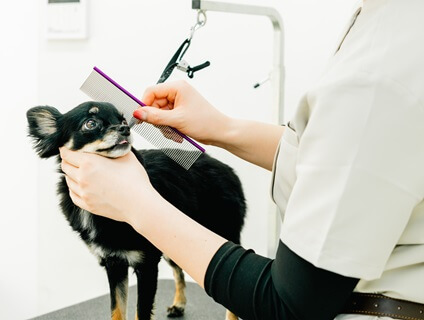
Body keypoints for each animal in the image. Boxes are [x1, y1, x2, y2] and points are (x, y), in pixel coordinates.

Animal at [26, 100, 245, 320]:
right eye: (91, 123)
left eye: (123, 120)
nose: (125, 129)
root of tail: (227, 169)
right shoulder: (114, 264)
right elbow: (117, 310)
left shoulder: (146, 264)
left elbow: (142, 312)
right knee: (179, 271)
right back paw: (178, 304)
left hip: (221, 233)